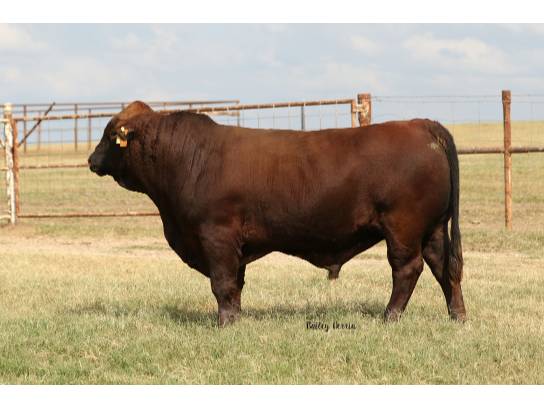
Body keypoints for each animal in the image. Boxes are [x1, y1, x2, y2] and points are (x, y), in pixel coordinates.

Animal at [88, 101, 466, 327]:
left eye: (108, 134)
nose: (91, 160)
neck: (187, 157)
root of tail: (421, 124)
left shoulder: (216, 235)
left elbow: (221, 282)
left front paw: (225, 323)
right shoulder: (234, 245)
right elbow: (235, 283)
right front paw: (236, 317)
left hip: (403, 227)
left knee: (408, 269)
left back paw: (389, 317)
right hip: (432, 228)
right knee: (443, 267)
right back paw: (457, 316)